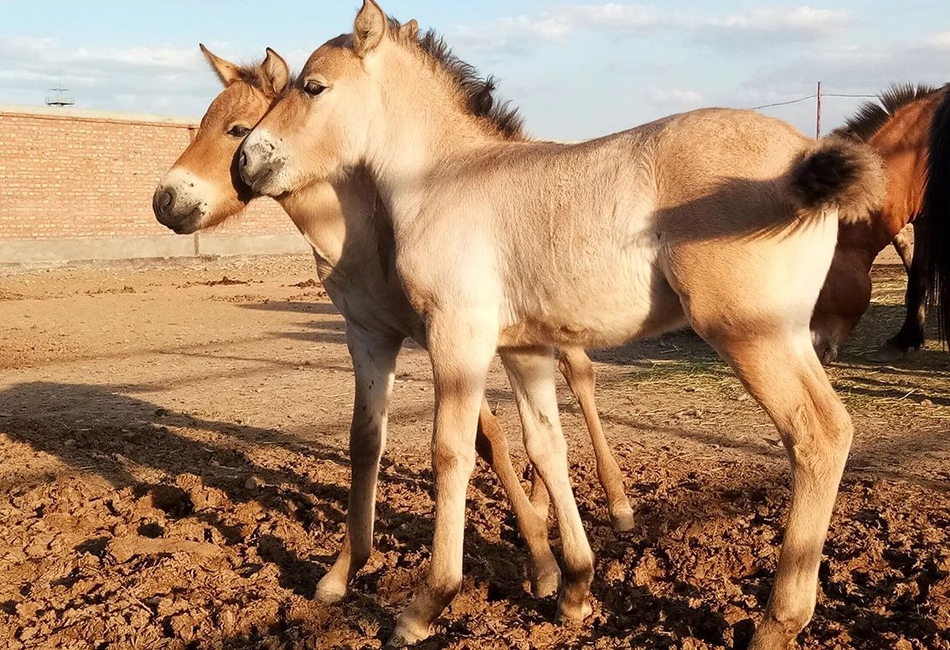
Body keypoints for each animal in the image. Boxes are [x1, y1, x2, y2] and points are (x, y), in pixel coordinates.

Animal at [152, 44, 636, 604]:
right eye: (205, 121)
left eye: (236, 129)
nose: (165, 199)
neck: (364, 236)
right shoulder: (379, 335)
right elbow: (380, 441)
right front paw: (342, 571)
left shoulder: (443, 335)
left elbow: (486, 440)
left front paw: (541, 563)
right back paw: (542, 502)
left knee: (580, 376)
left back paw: (616, 503)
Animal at [237, 3, 886, 647]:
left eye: (313, 86)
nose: (246, 160)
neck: (443, 179)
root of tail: (805, 155)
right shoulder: (525, 347)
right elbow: (547, 445)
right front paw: (574, 589)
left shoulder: (457, 334)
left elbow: (451, 451)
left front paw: (426, 605)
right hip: (788, 334)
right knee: (832, 429)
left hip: (750, 332)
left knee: (816, 434)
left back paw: (779, 621)